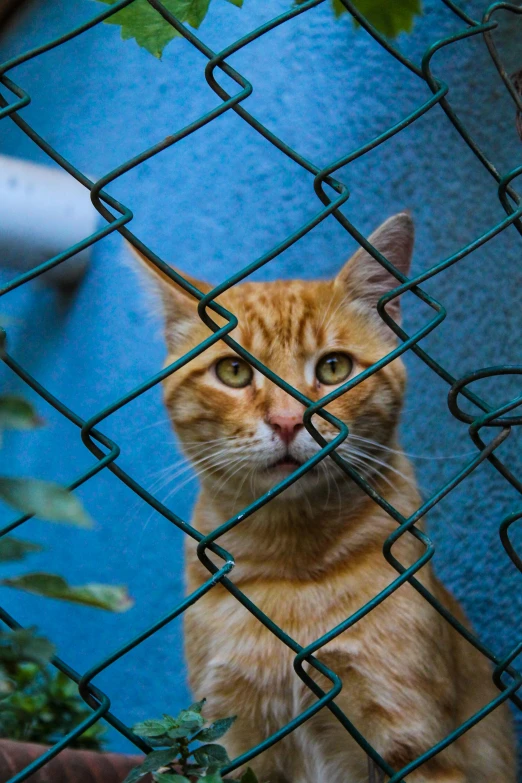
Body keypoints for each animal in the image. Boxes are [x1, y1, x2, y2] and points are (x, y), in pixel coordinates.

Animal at [129, 211, 512, 780]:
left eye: (334, 368)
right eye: (234, 371)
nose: (289, 422)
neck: (292, 571)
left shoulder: (411, 739)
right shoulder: (234, 740)